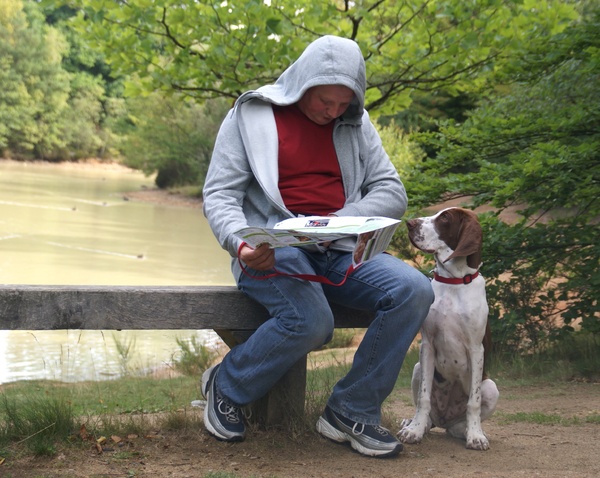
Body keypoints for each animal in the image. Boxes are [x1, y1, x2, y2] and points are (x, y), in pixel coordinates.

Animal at [396, 207, 500, 450]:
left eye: (444, 218)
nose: (409, 223)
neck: (454, 282)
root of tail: (444, 419)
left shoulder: (476, 349)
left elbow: (474, 402)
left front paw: (476, 436)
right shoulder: (427, 345)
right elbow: (423, 398)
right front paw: (414, 431)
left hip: (491, 386)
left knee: (459, 424)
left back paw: (469, 431)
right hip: (417, 368)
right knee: (427, 415)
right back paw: (415, 424)